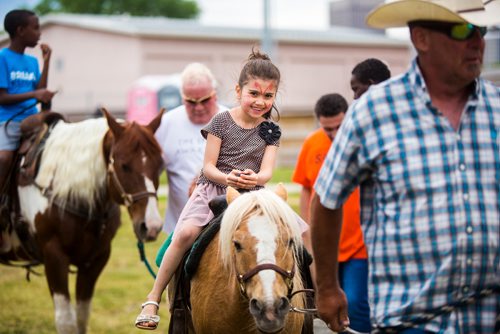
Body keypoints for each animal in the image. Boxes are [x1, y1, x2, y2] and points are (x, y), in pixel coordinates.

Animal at [0, 108, 164, 332]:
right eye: (124, 165)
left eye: (160, 165)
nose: (152, 226)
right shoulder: (54, 258)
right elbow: (66, 321)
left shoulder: (95, 261)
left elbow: (81, 317)